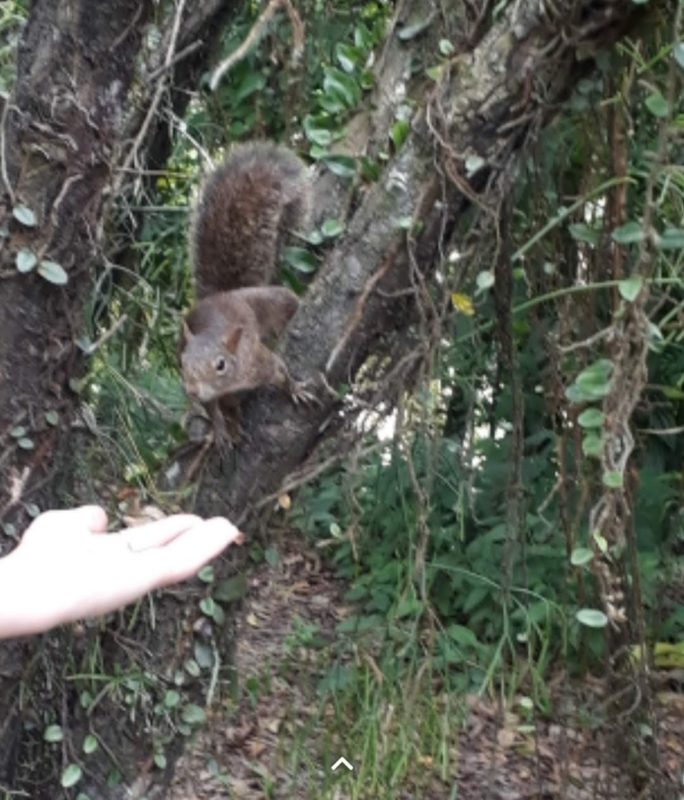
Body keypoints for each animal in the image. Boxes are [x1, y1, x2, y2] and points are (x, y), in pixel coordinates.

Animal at [178, 141, 314, 446]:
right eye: (182, 362)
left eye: (220, 365)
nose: (192, 391)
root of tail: (227, 293)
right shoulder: (212, 395)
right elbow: (212, 407)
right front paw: (219, 429)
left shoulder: (261, 362)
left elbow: (281, 370)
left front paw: (296, 389)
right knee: (230, 406)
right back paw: (233, 423)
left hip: (269, 300)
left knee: (287, 303)